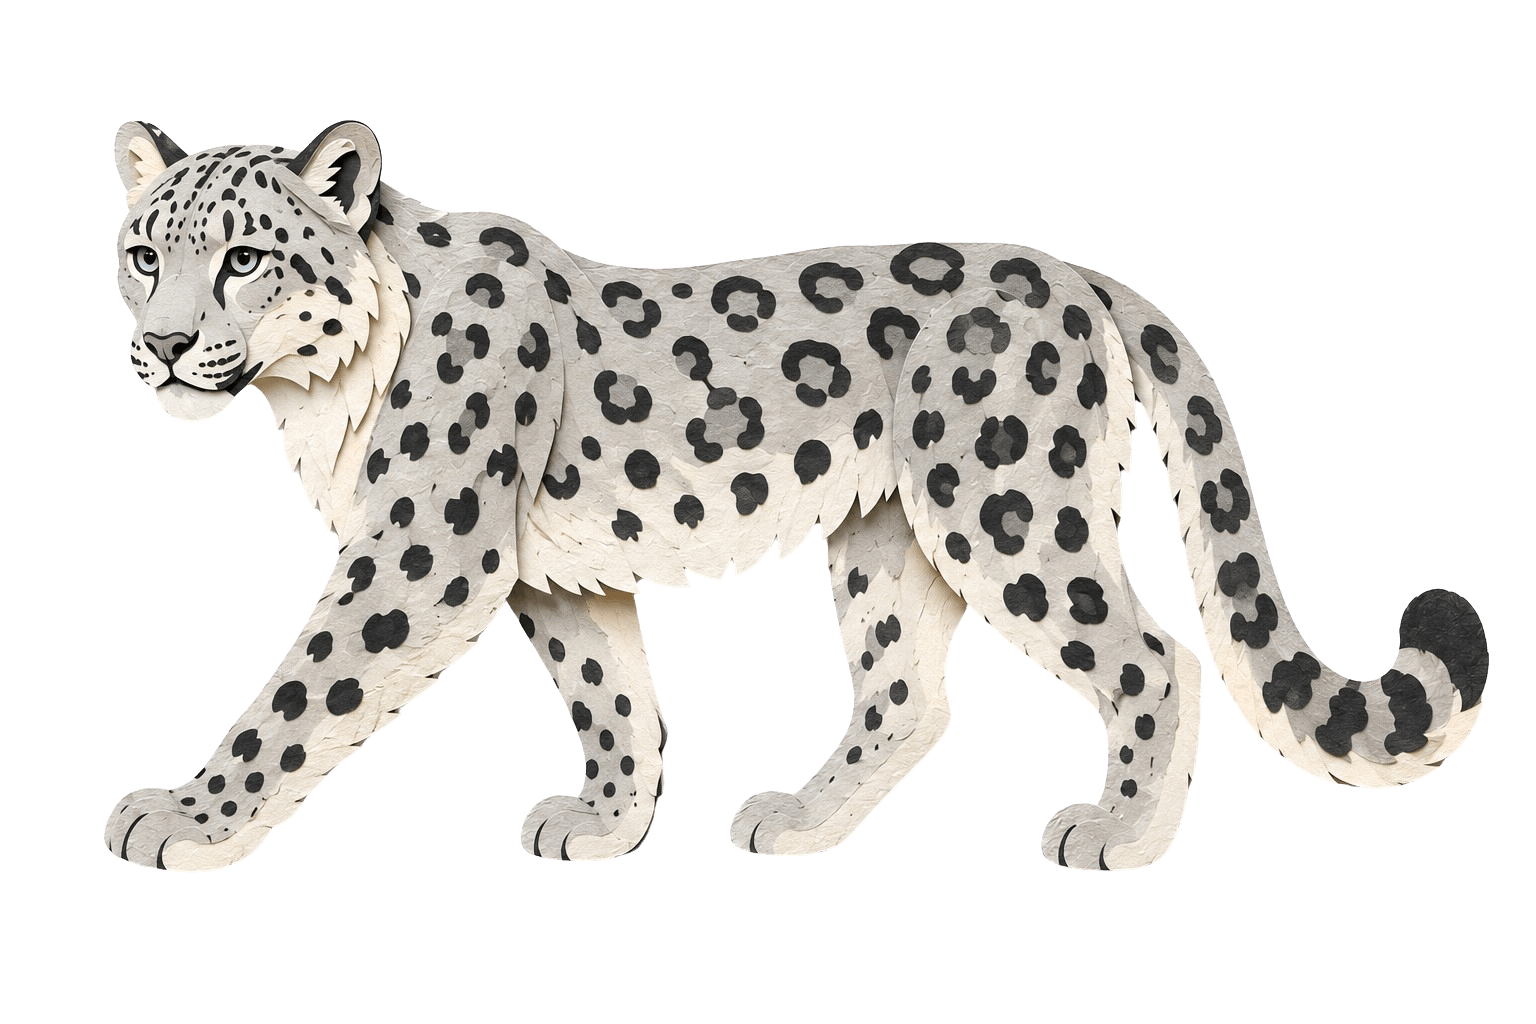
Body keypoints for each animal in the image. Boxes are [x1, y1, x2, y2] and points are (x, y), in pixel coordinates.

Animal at [105, 120, 1489, 872]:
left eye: (243, 257)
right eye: (140, 252)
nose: (163, 346)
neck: (314, 399)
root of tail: (1074, 270)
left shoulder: (421, 549)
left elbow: (301, 690)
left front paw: (185, 815)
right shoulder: (556, 567)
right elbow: (610, 692)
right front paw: (606, 819)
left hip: (1008, 507)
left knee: (1154, 657)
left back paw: (1119, 831)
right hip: (888, 539)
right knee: (909, 695)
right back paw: (799, 816)